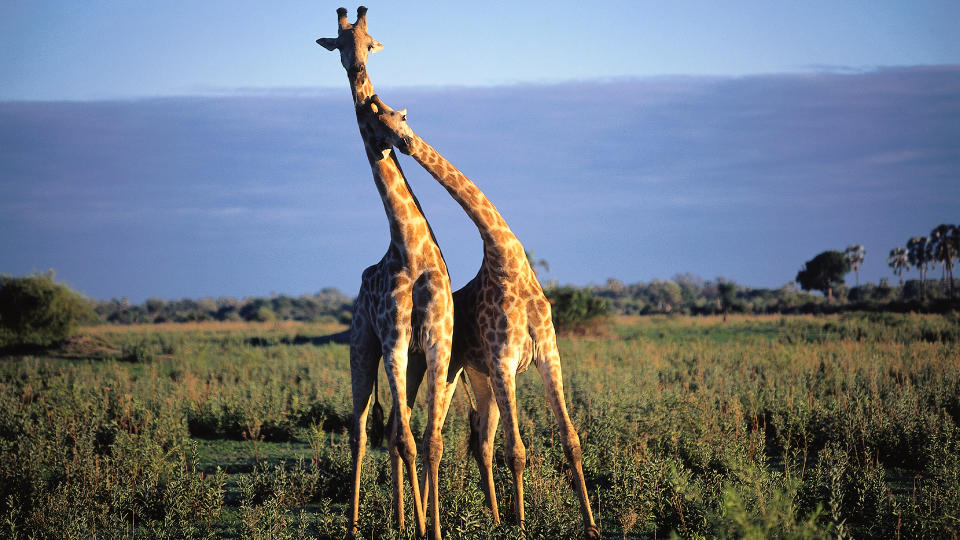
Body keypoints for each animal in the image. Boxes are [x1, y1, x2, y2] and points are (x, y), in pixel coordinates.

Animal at [316, 6, 458, 536]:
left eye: (369, 39)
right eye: (340, 42)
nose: (407, 142)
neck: (410, 248)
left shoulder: (435, 343)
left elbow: (430, 441)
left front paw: (431, 527)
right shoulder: (394, 341)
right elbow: (406, 440)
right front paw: (419, 527)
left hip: (410, 361)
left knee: (397, 428)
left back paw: (398, 520)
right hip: (362, 347)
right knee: (361, 430)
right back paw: (357, 523)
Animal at [370, 99, 600, 536]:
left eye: (400, 117)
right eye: (383, 120)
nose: (404, 144)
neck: (505, 259)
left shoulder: (548, 354)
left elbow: (571, 439)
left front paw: (591, 527)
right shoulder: (503, 360)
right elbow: (518, 451)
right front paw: (523, 527)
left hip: (479, 379)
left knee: (481, 441)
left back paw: (491, 518)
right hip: (453, 372)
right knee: (431, 435)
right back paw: (425, 520)